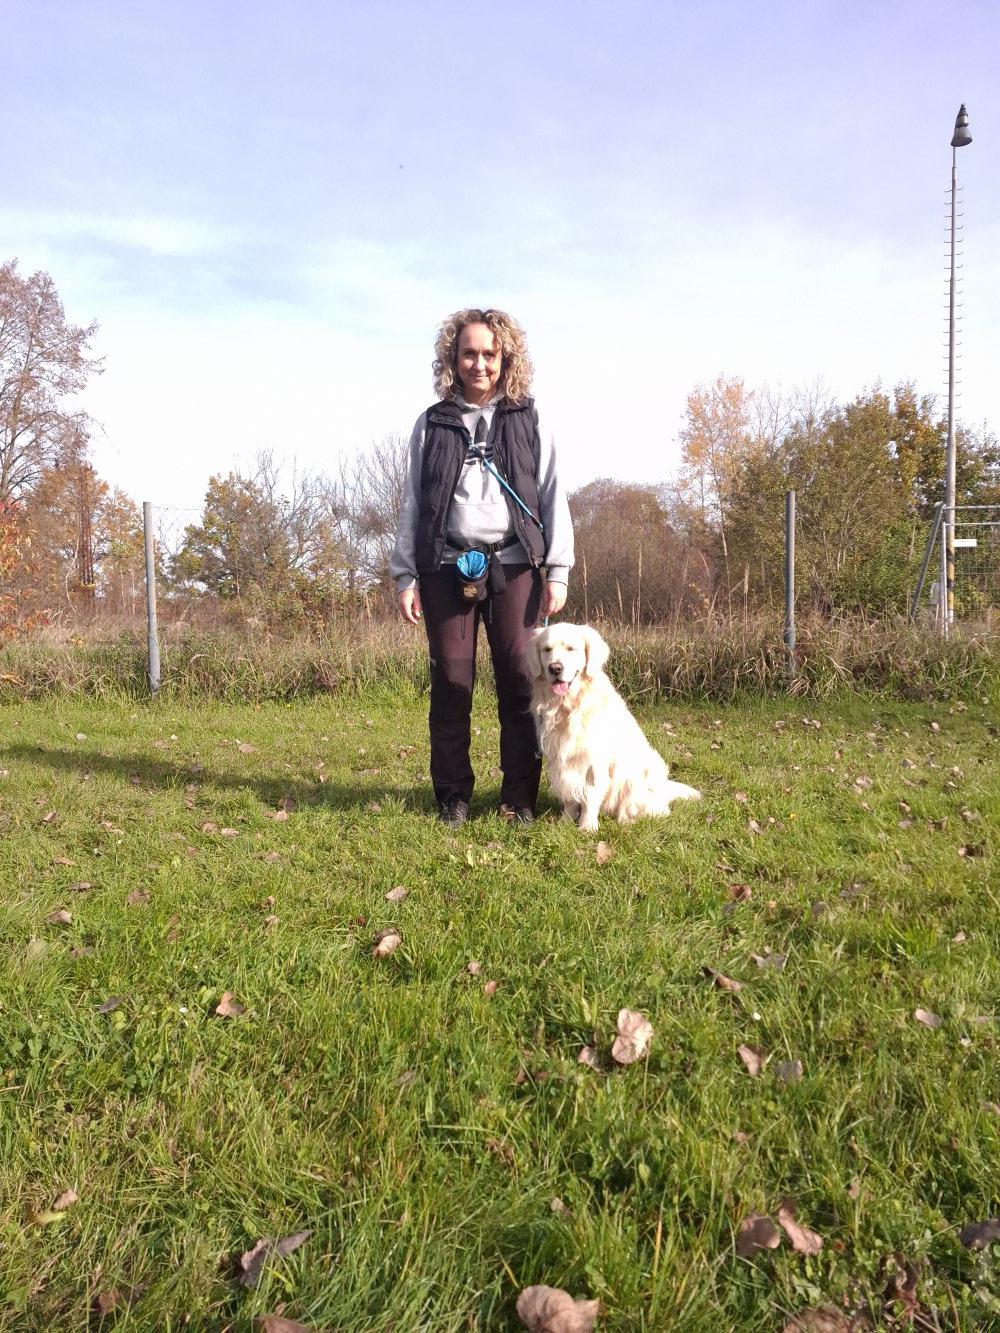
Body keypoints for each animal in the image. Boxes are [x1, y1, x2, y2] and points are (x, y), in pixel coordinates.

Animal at [526, 622, 701, 831]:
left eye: (571, 649)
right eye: (547, 649)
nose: (555, 668)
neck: (568, 707)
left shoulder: (595, 761)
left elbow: (590, 795)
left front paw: (587, 827)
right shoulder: (563, 760)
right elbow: (569, 797)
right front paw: (565, 822)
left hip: (637, 780)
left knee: (655, 810)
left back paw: (628, 820)